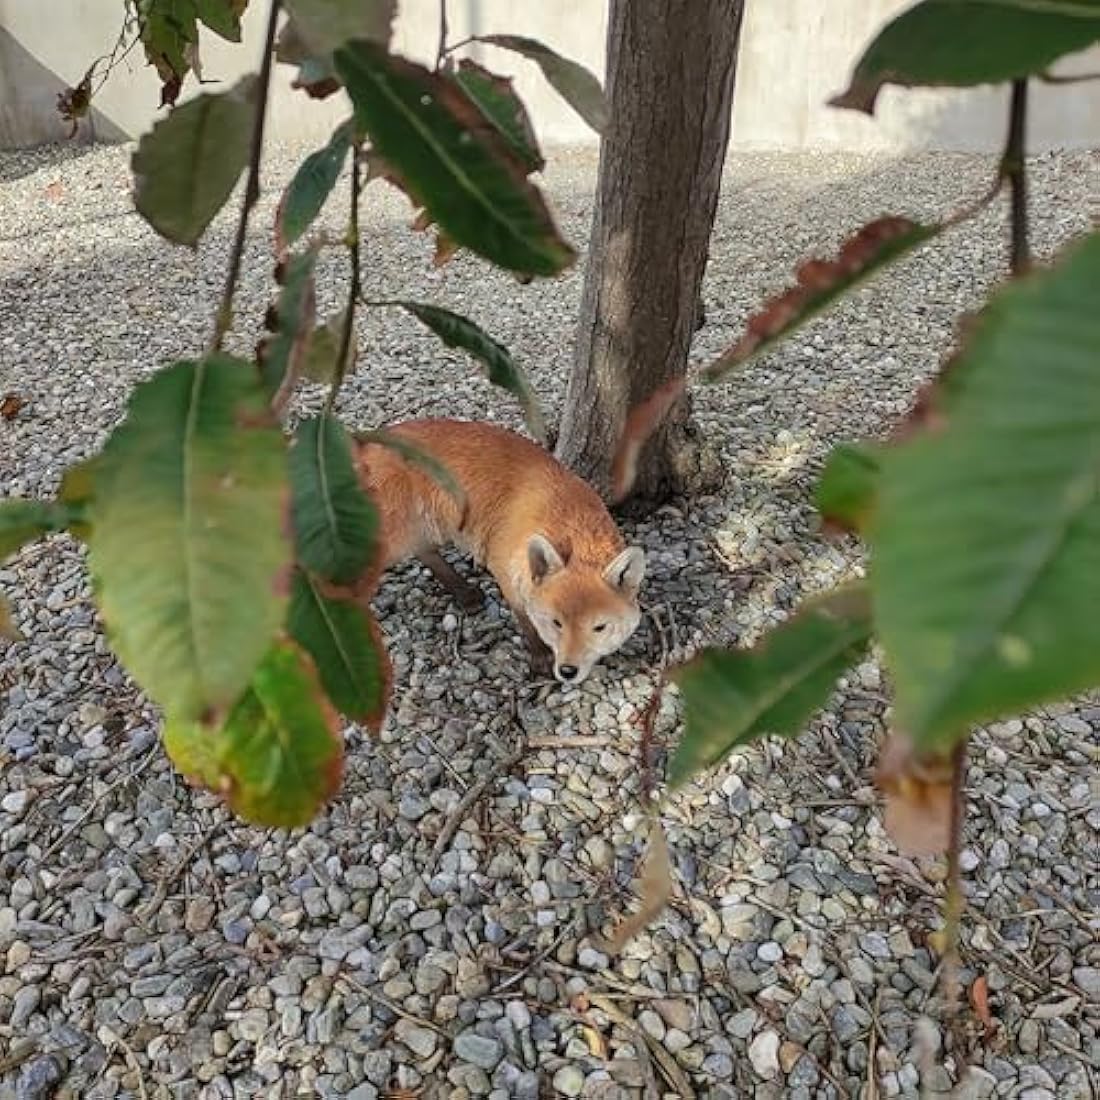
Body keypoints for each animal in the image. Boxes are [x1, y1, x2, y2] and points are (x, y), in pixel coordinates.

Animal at [355, 419, 646, 684]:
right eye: (556, 623)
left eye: (599, 627)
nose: (567, 671)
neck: (569, 517)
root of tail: (369, 440)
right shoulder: (504, 567)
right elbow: (524, 618)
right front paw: (540, 656)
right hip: (388, 541)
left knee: (424, 552)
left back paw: (464, 592)